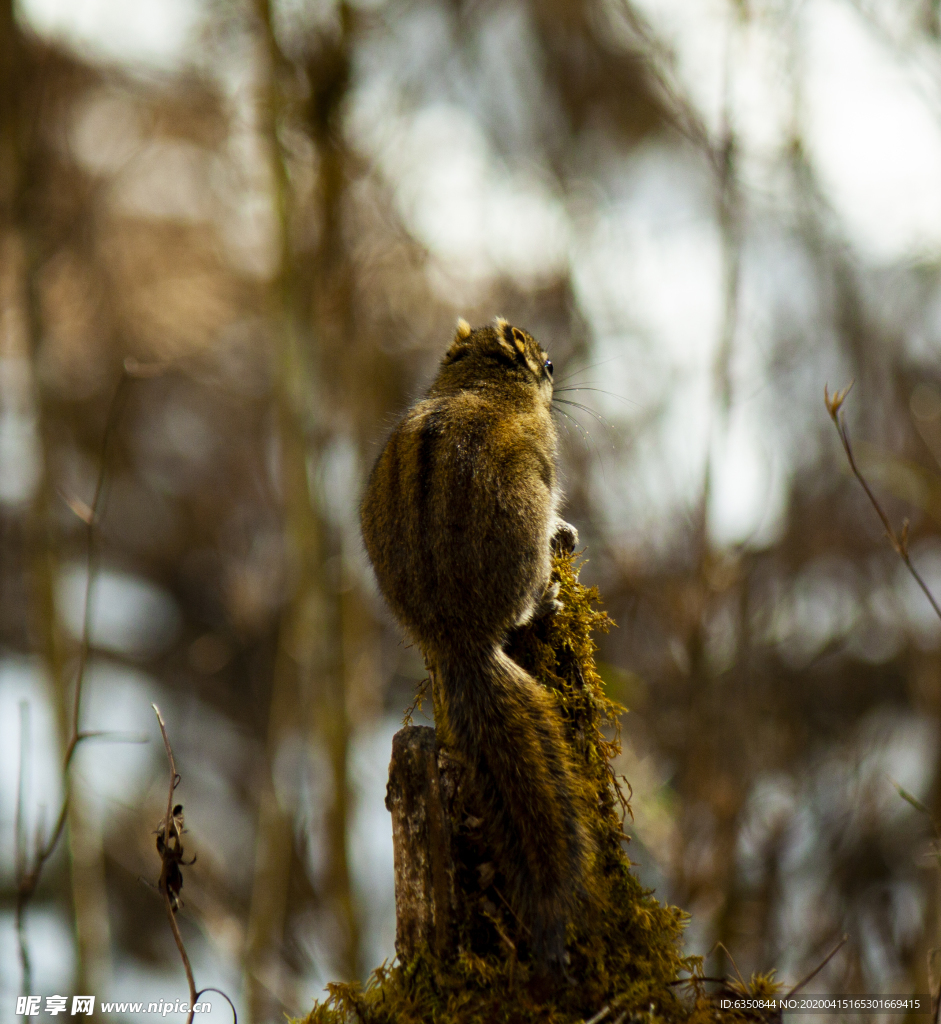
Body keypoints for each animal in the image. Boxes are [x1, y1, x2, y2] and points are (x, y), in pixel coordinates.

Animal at [360, 317, 589, 966]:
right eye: (549, 366)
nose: (559, 378)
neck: (482, 382)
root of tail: (457, 641)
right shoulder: (547, 460)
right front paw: (568, 529)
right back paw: (545, 600)